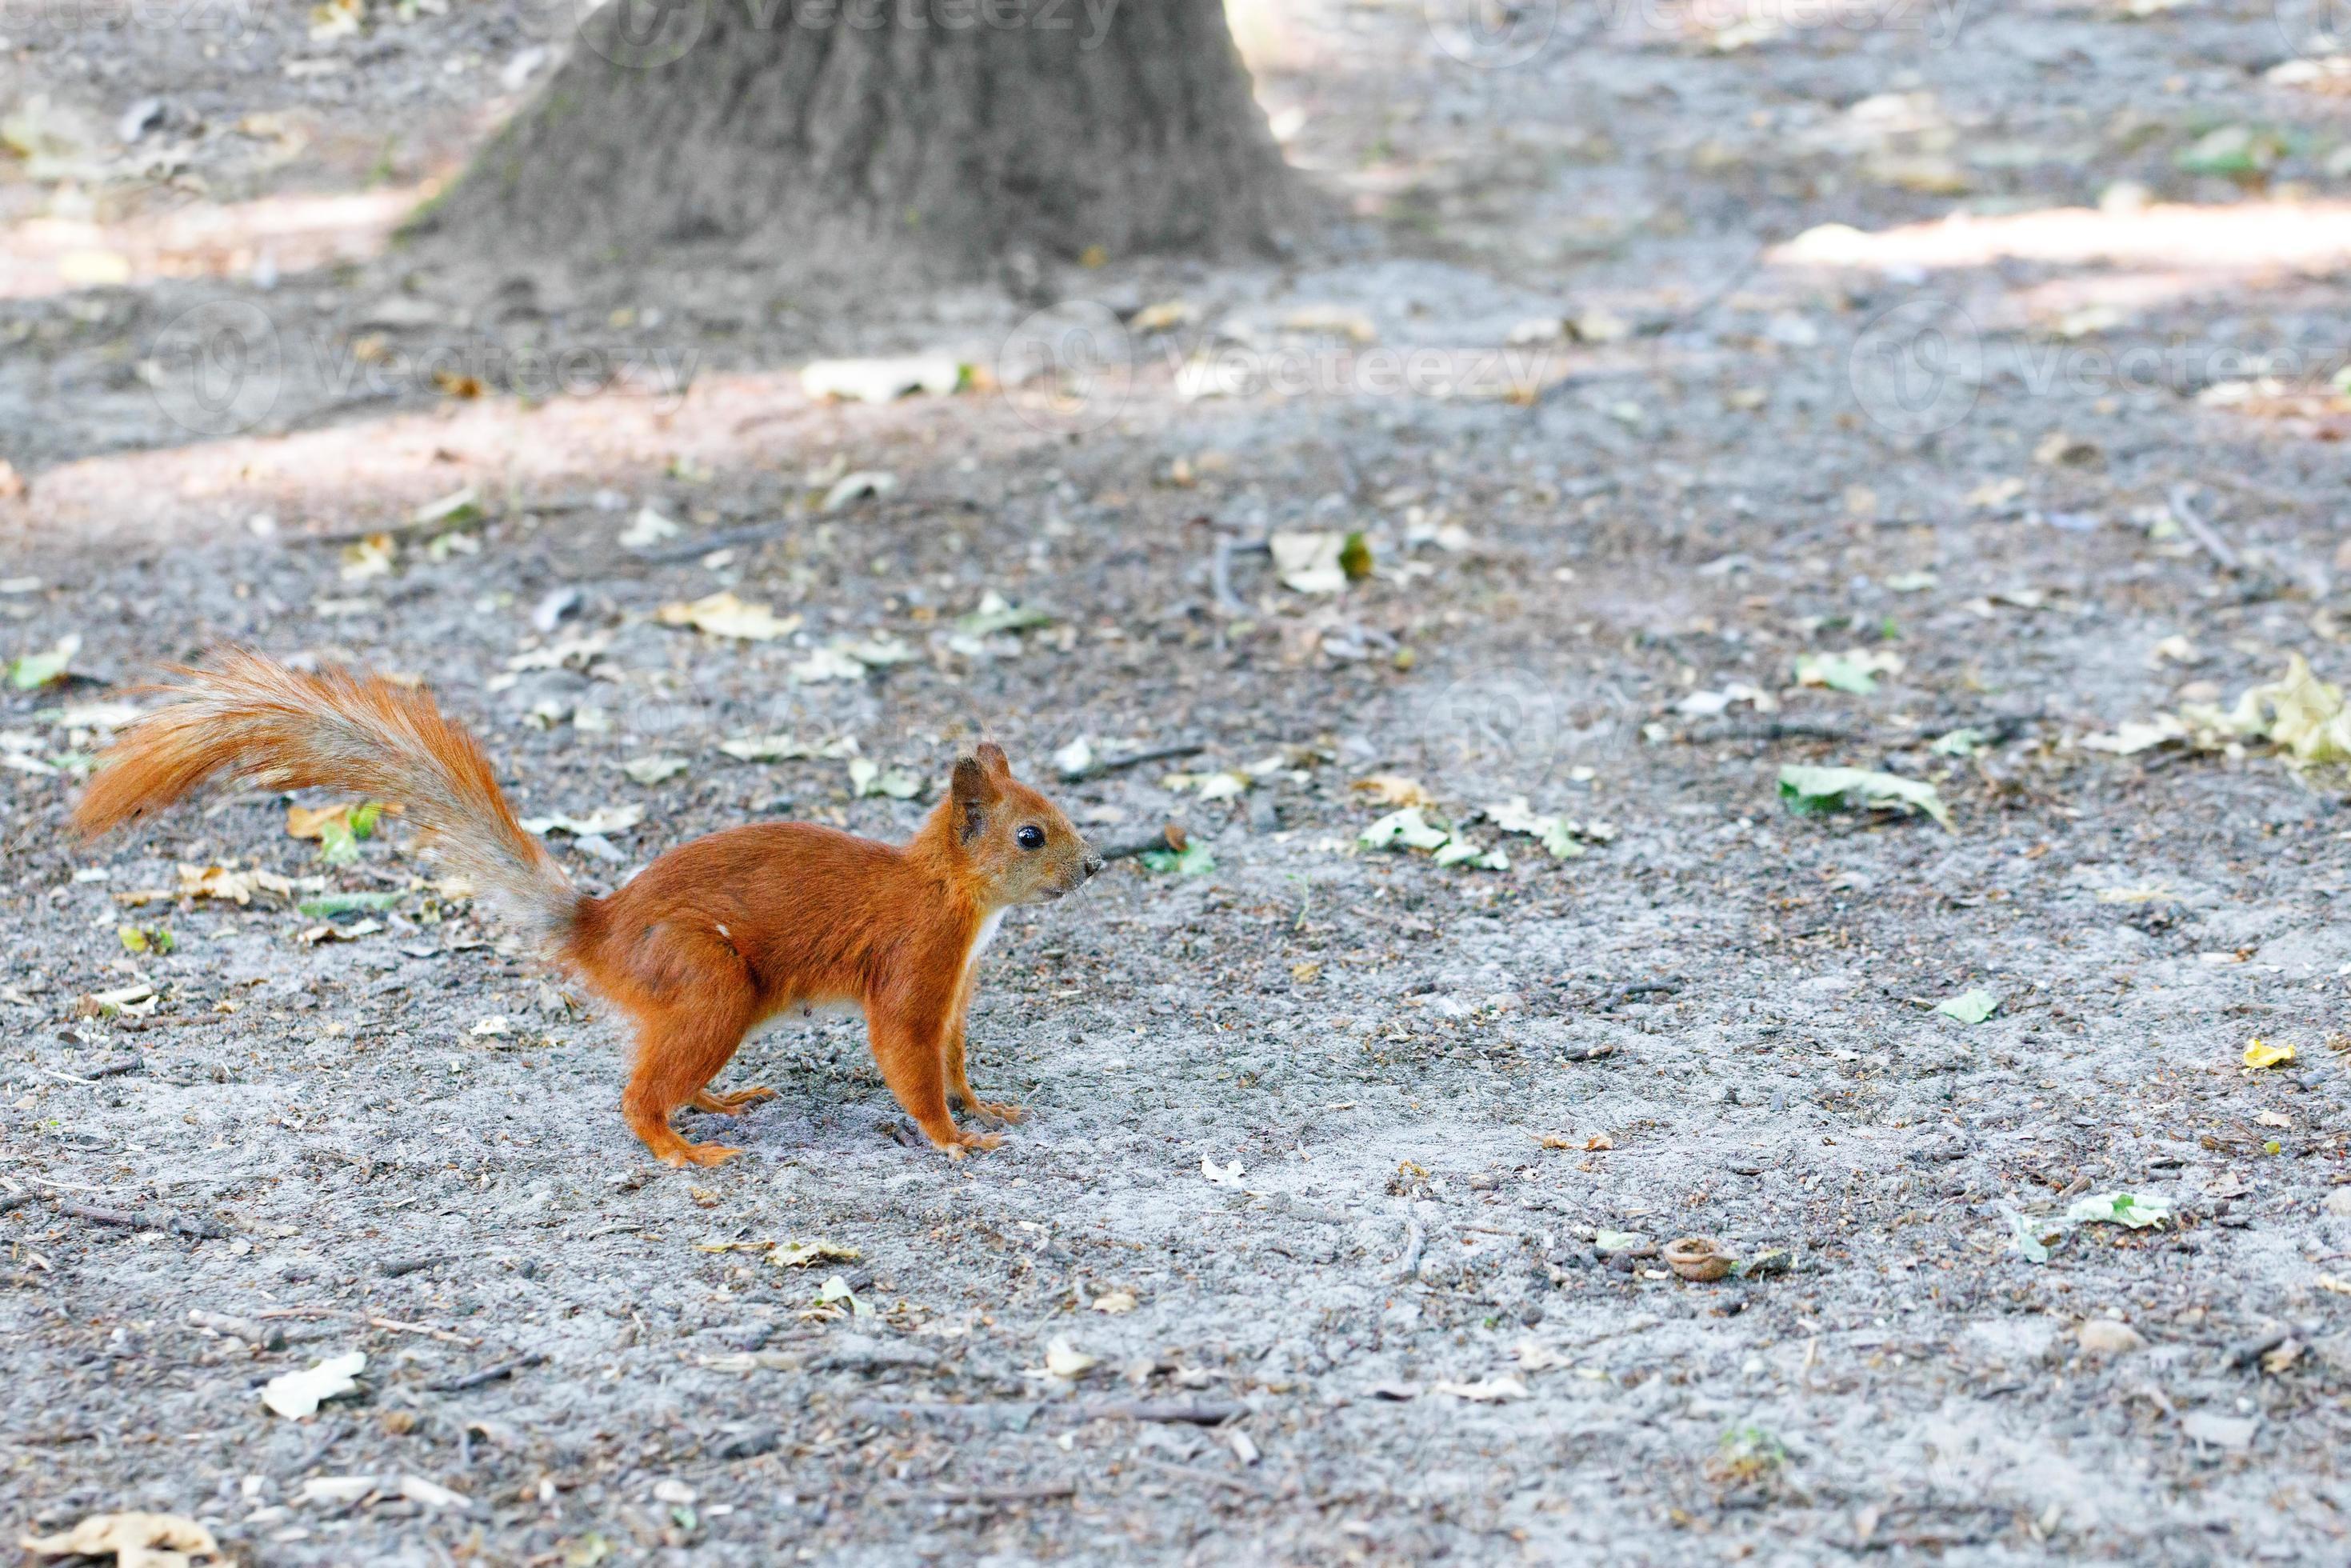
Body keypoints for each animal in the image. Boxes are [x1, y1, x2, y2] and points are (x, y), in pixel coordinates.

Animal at [70, 649, 1100, 1166]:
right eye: (1030, 836)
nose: (1092, 867)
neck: (953, 896)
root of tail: (603, 929)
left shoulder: (955, 991)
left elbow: (954, 1059)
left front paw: (985, 1107)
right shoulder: (913, 968)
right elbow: (910, 1063)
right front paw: (954, 1140)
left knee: (666, 1068)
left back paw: (718, 1103)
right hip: (708, 979)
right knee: (638, 1094)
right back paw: (683, 1152)